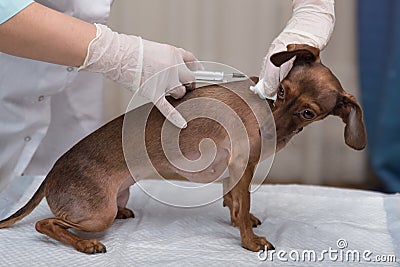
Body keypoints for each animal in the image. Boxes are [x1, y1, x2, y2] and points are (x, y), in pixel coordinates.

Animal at [0, 45, 366, 254]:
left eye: (308, 113)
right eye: (281, 90)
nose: (264, 128)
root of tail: (52, 172)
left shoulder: (236, 171)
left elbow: (235, 202)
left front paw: (240, 219)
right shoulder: (242, 166)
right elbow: (241, 204)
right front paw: (249, 241)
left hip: (113, 201)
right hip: (96, 214)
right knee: (45, 225)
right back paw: (86, 244)